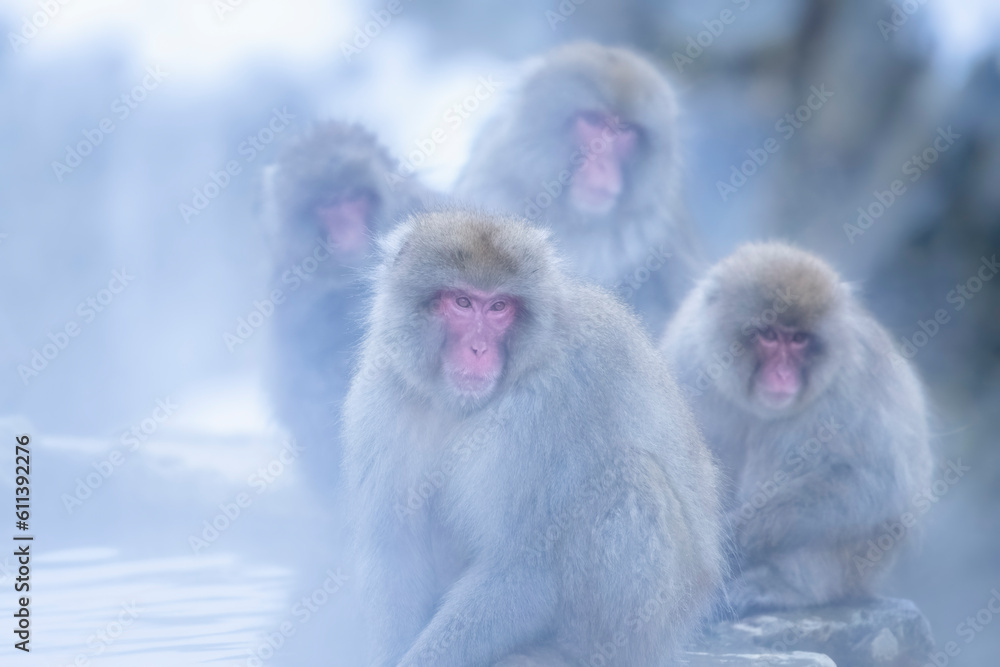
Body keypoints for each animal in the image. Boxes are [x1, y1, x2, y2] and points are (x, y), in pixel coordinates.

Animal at [342, 210, 723, 666]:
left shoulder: (548, 406)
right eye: (463, 302)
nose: (477, 349)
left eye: (499, 307)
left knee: (623, 477)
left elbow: (524, 566)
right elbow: (394, 549)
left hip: (652, 628)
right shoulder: (386, 390)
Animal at [660, 242, 933, 616]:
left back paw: (784, 586)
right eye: (769, 335)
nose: (782, 375)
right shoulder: (687, 358)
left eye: (800, 339)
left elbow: (876, 484)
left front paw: (732, 541)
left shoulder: (850, 381)